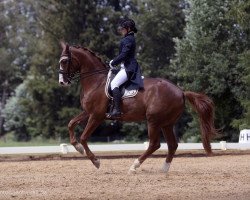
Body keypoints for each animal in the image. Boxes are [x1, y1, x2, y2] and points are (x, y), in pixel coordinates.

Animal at [58, 42, 217, 173]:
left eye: (64, 61)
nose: (62, 82)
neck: (95, 81)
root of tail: (181, 91)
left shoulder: (96, 115)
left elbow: (84, 137)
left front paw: (96, 161)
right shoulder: (88, 112)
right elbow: (71, 124)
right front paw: (77, 147)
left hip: (153, 120)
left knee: (154, 144)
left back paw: (134, 166)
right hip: (166, 123)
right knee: (172, 145)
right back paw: (164, 169)